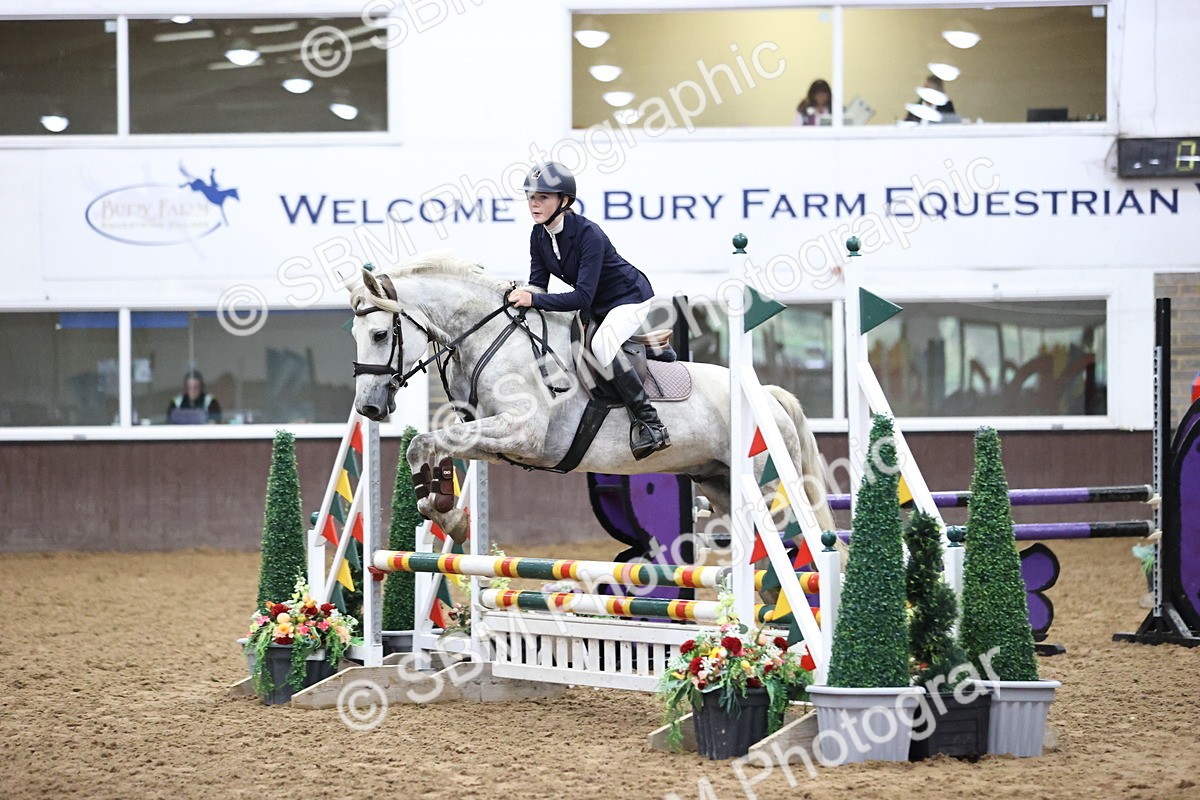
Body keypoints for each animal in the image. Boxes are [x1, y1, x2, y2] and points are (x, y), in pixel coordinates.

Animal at [346, 252, 835, 551]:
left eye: (380, 334)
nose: (368, 408)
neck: (489, 337)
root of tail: (769, 396)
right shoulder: (497, 438)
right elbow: (427, 444)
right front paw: (449, 516)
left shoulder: (523, 432)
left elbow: (426, 441)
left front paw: (449, 517)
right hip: (718, 482)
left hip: (766, 486)